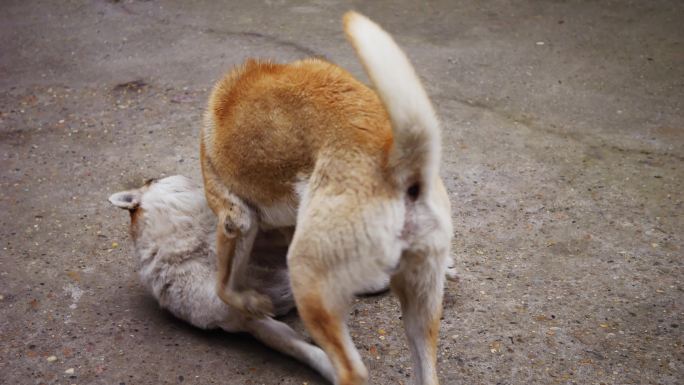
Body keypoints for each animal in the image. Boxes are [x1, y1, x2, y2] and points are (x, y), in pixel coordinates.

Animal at [200, 12, 452, 384]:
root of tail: (399, 162)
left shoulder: (236, 219)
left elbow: (223, 287)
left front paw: (252, 304)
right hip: (421, 307)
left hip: (307, 276)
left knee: (352, 371)